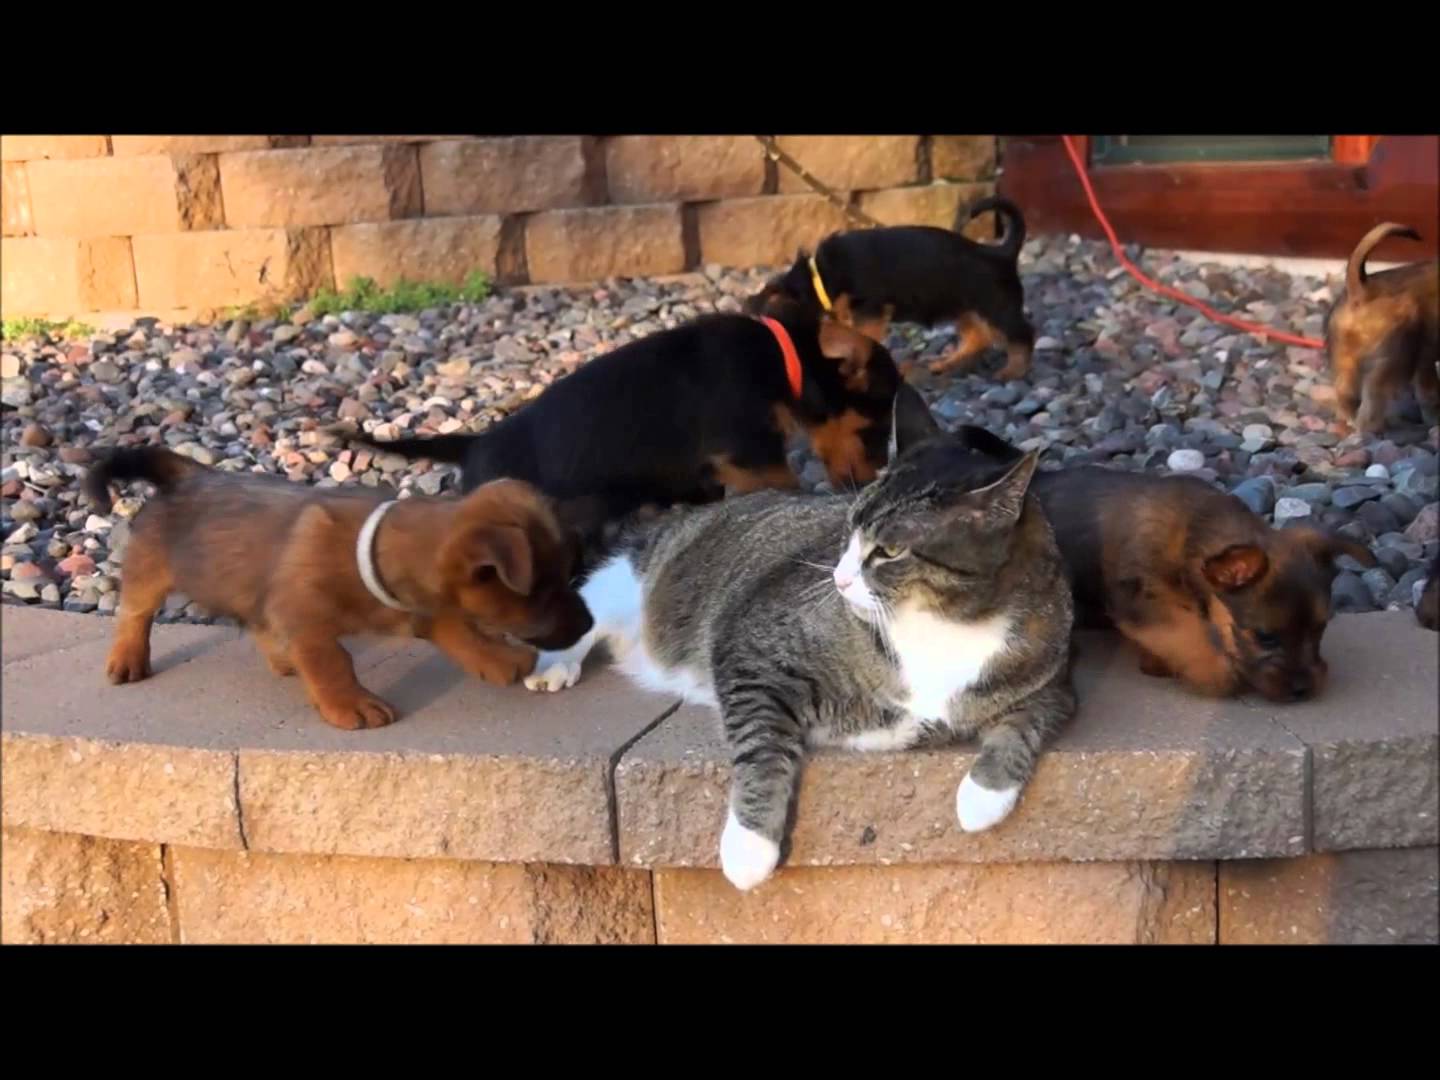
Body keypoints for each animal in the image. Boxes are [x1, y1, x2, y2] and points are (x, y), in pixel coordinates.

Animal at [84, 449, 593, 737]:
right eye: (545, 592)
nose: (591, 623)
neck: (371, 553)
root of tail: (188, 474)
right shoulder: (307, 618)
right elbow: (333, 663)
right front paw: (352, 705)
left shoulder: (427, 610)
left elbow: (462, 633)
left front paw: (497, 658)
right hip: (150, 571)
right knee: (134, 614)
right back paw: (127, 660)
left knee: (258, 622)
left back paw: (283, 659)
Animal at [360, 306, 898, 535]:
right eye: (873, 431)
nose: (872, 480)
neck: (783, 361)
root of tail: (472, 444)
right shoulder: (749, 450)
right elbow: (782, 482)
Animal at [524, 385, 1077, 892]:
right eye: (849, 529)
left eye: (890, 550)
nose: (839, 578)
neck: (947, 623)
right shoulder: (753, 649)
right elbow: (763, 744)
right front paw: (749, 848)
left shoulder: (1053, 677)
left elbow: (1025, 724)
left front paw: (981, 798)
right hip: (630, 576)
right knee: (587, 609)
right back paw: (555, 666)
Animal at [743, 197, 1036, 383]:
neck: (819, 278)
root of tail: (1000, 253)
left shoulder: (869, 308)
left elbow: (862, 335)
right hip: (963, 308)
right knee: (978, 338)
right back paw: (945, 364)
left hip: (995, 307)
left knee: (1021, 334)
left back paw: (1014, 371)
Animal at [1324, 221, 1440, 434]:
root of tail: (1363, 292)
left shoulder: (1424, 361)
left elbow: (1428, 394)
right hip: (1394, 358)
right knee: (1373, 398)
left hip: (1345, 359)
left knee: (1345, 392)